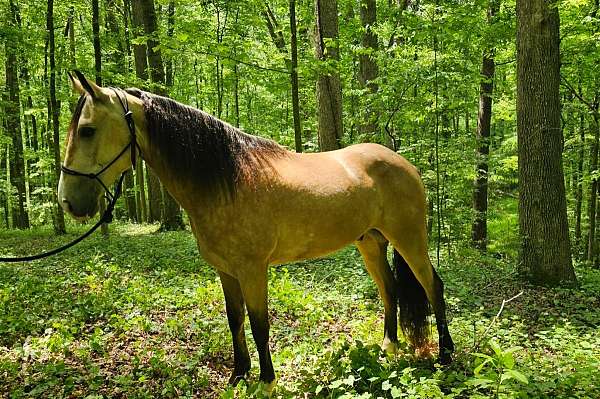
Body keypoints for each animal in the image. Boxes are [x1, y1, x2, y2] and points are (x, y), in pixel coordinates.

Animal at [61, 70, 454, 392]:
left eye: (87, 130)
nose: (67, 201)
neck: (226, 181)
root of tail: (404, 163)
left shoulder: (253, 270)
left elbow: (259, 322)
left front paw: (266, 380)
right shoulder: (225, 270)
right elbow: (235, 320)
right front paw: (238, 375)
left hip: (409, 239)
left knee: (432, 285)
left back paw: (446, 355)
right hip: (371, 243)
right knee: (390, 289)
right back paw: (389, 347)